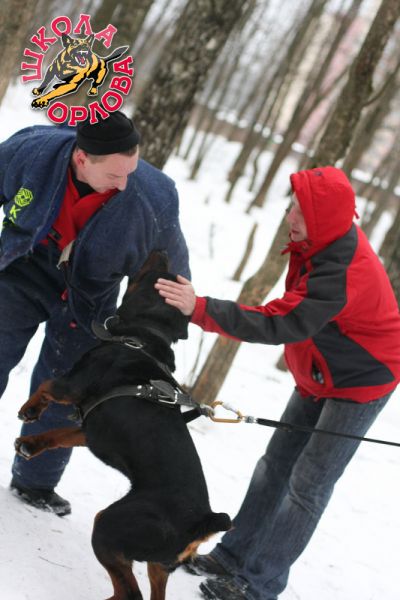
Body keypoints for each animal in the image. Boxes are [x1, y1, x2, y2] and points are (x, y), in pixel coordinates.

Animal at [15, 250, 231, 600]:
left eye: (159, 274)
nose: (161, 251)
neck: (141, 336)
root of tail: (201, 522)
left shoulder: (72, 385)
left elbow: (47, 385)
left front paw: (30, 410)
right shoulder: (88, 429)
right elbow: (59, 435)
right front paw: (30, 445)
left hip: (109, 527)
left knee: (130, 593)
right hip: (159, 564)